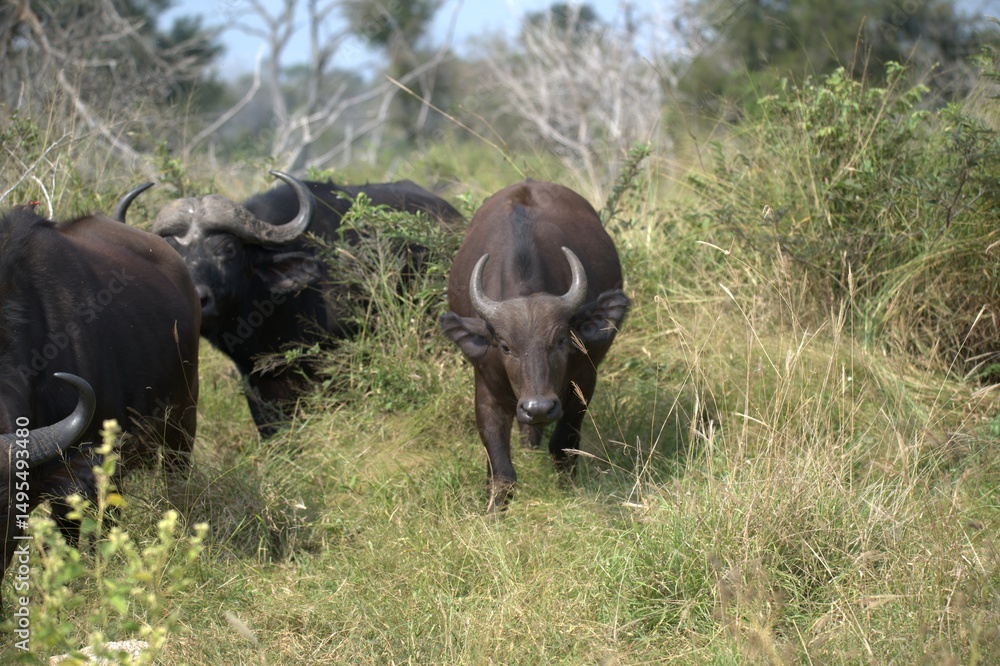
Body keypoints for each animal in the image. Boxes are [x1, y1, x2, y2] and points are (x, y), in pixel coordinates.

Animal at [440, 180, 630, 511]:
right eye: (505, 346)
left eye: (561, 340)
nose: (538, 407)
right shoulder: (486, 390)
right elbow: (501, 470)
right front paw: (493, 513)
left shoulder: (583, 382)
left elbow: (563, 446)